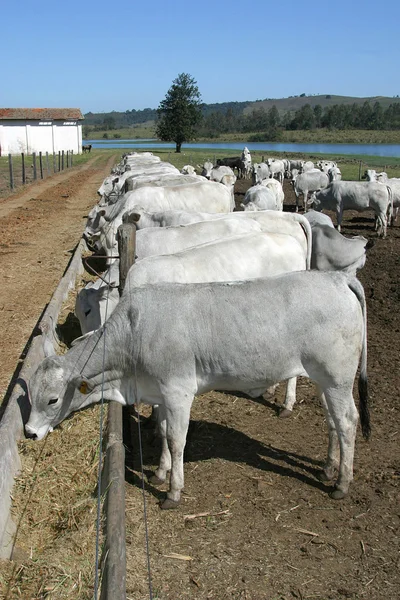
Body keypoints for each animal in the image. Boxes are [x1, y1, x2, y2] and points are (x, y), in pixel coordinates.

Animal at [25, 270, 368, 506]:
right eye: (30, 395)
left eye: (52, 399)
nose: (29, 432)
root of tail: (339, 278)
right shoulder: (160, 394)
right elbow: (164, 432)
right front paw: (160, 472)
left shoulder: (178, 392)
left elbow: (177, 440)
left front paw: (173, 491)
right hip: (324, 380)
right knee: (332, 421)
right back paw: (328, 468)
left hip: (338, 378)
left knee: (348, 421)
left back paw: (342, 482)